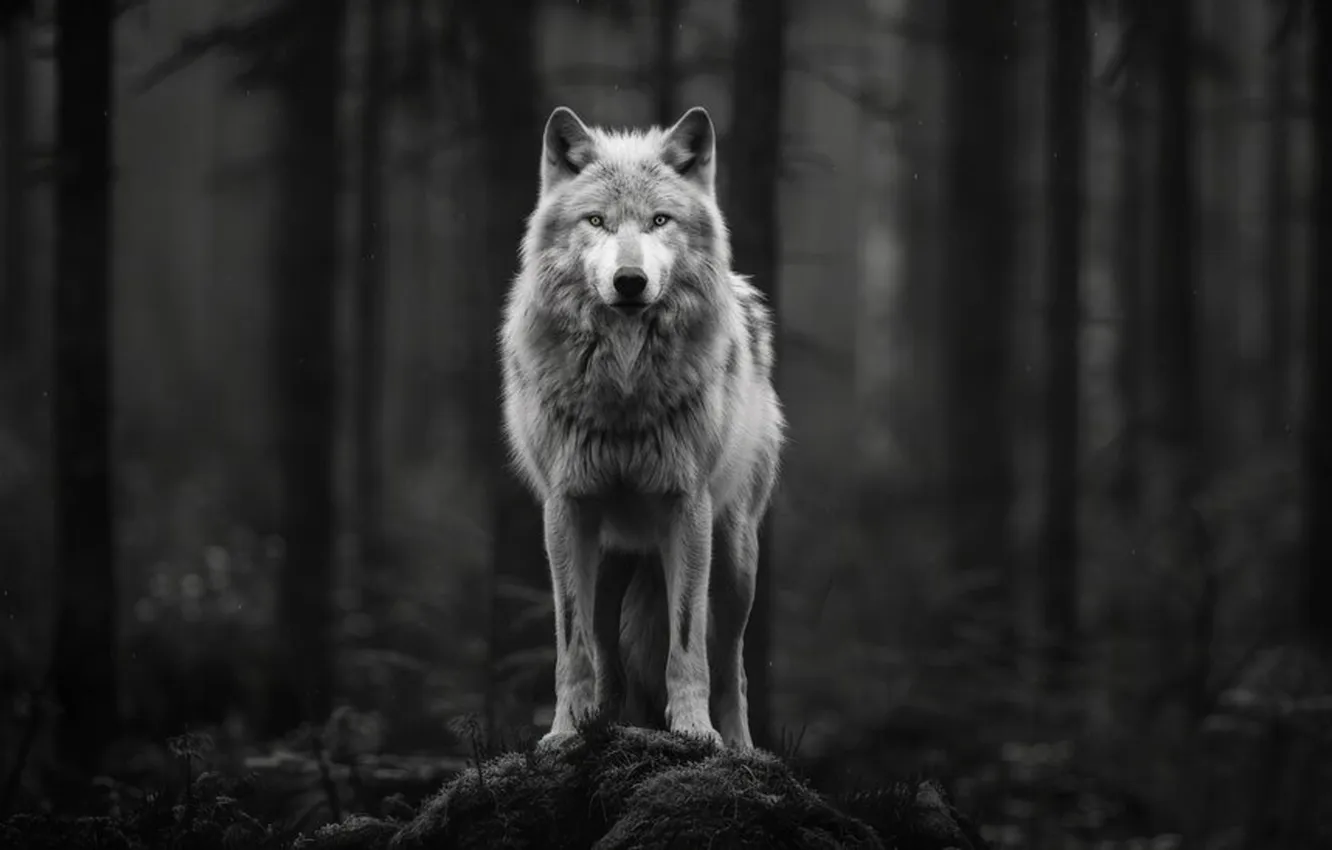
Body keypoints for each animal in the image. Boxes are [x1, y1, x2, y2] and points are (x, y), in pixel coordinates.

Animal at [499, 105, 785, 749]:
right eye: (597, 222)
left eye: (659, 221)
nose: (629, 280)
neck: (624, 386)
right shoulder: (566, 509)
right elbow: (571, 645)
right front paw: (563, 734)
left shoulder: (688, 507)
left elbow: (686, 642)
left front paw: (695, 733)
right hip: (611, 560)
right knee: (608, 656)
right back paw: (604, 724)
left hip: (737, 561)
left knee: (732, 665)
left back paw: (741, 748)